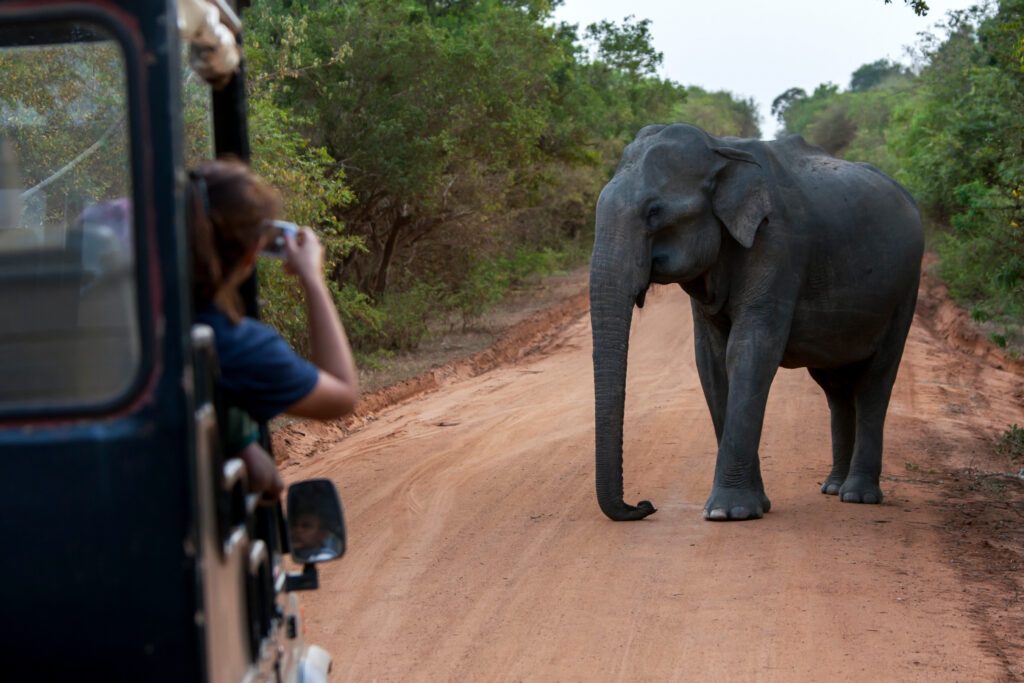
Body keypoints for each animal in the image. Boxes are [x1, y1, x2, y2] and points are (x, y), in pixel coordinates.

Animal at [589, 122, 925, 520]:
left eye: (654, 212)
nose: (644, 505)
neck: (719, 152)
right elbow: (712, 361)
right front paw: (752, 507)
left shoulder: (778, 243)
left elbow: (749, 350)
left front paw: (728, 513)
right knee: (835, 386)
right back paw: (832, 487)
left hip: (905, 288)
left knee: (875, 379)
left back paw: (857, 496)